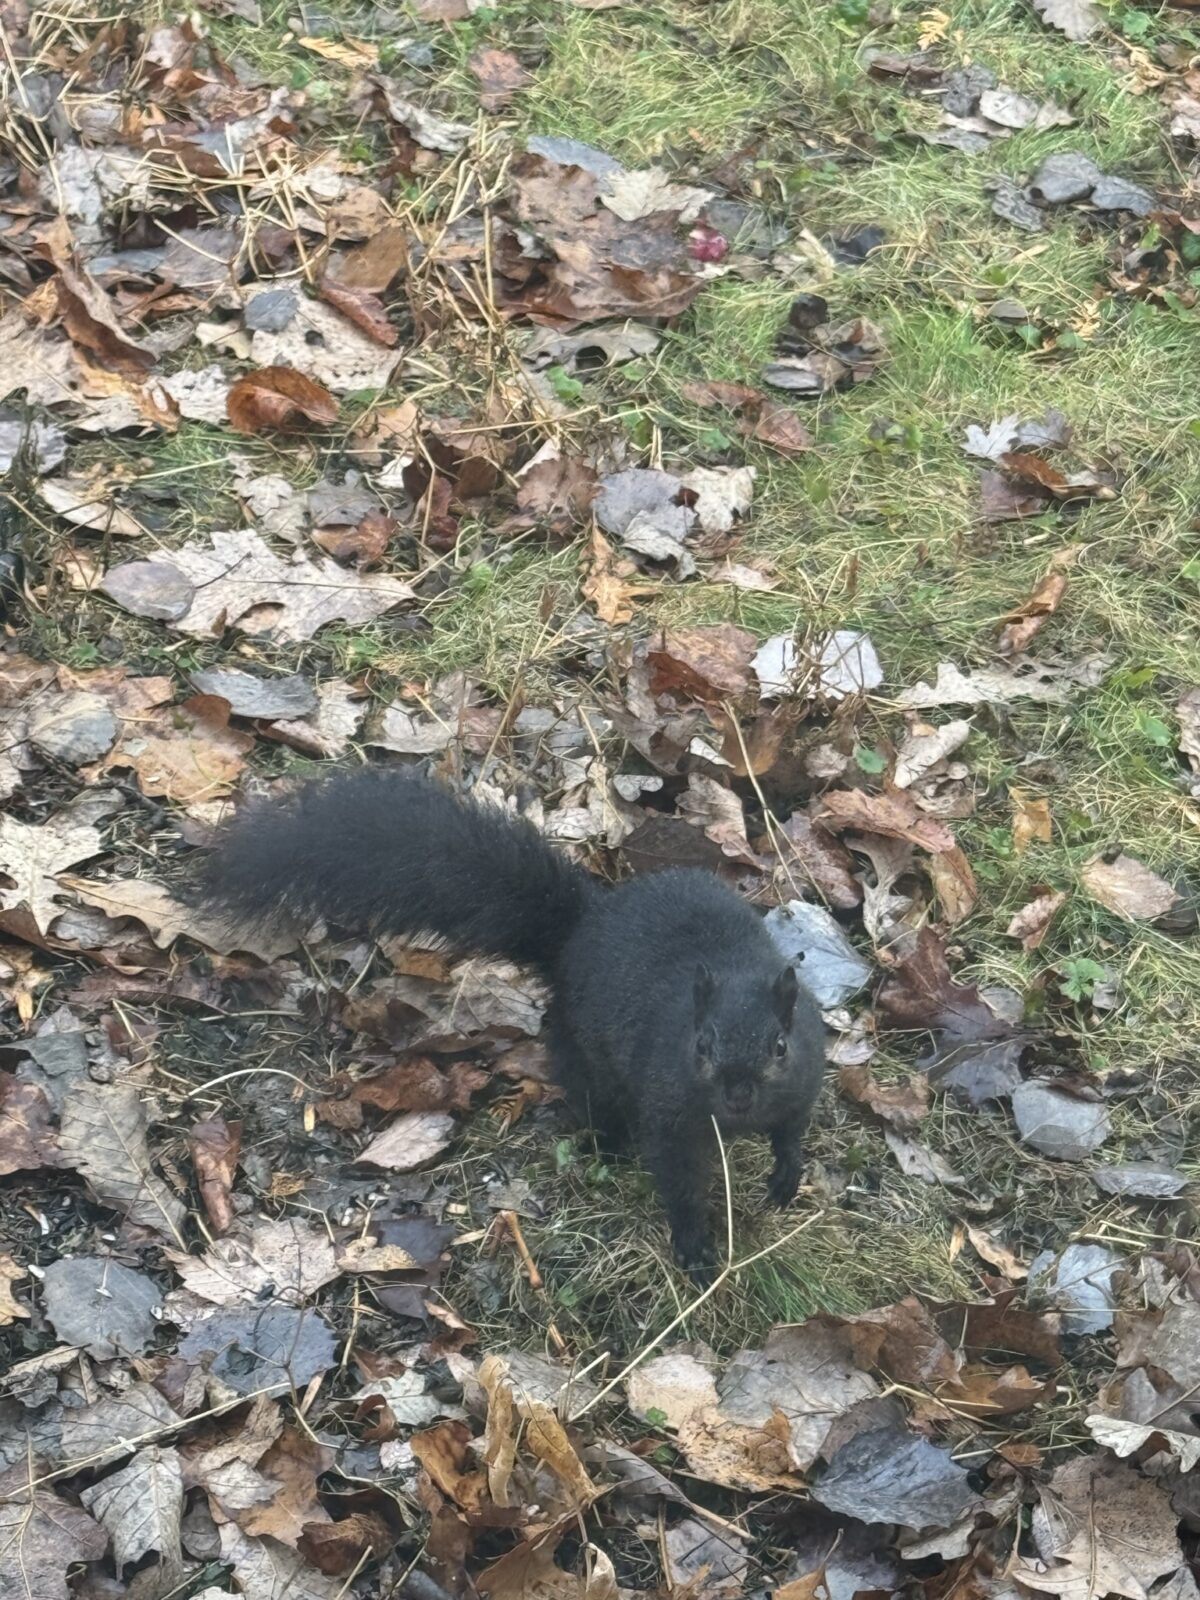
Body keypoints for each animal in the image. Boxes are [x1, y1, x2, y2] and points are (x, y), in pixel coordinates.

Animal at [196, 768, 826, 1280]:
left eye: (779, 1046)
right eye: (702, 1044)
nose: (739, 1096)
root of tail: (580, 932)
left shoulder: (804, 1077)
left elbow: (792, 1128)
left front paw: (786, 1175)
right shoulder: (668, 1111)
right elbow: (678, 1180)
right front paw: (695, 1245)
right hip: (583, 1050)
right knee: (593, 1096)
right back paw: (607, 1146)